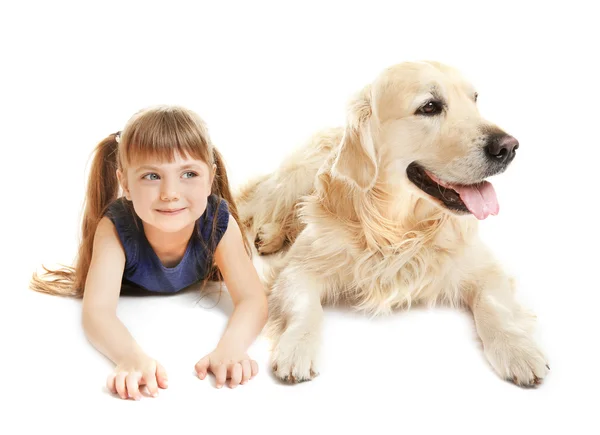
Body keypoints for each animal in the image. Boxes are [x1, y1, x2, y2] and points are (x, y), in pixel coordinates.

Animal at [234, 60, 548, 388]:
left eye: (475, 99)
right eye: (430, 106)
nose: (508, 147)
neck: (398, 227)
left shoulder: (484, 266)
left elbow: (495, 305)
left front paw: (519, 350)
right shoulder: (298, 268)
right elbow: (303, 305)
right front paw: (297, 347)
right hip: (294, 178)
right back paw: (267, 233)